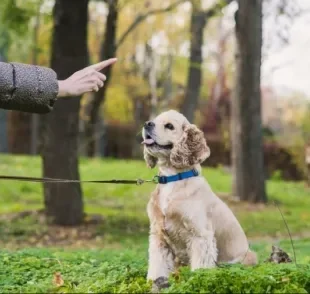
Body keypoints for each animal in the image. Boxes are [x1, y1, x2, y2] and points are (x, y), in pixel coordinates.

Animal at [141, 109, 256, 286]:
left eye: (169, 126)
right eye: (155, 119)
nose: (147, 124)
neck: (173, 179)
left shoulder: (200, 236)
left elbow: (200, 268)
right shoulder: (158, 236)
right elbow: (157, 265)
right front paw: (155, 282)